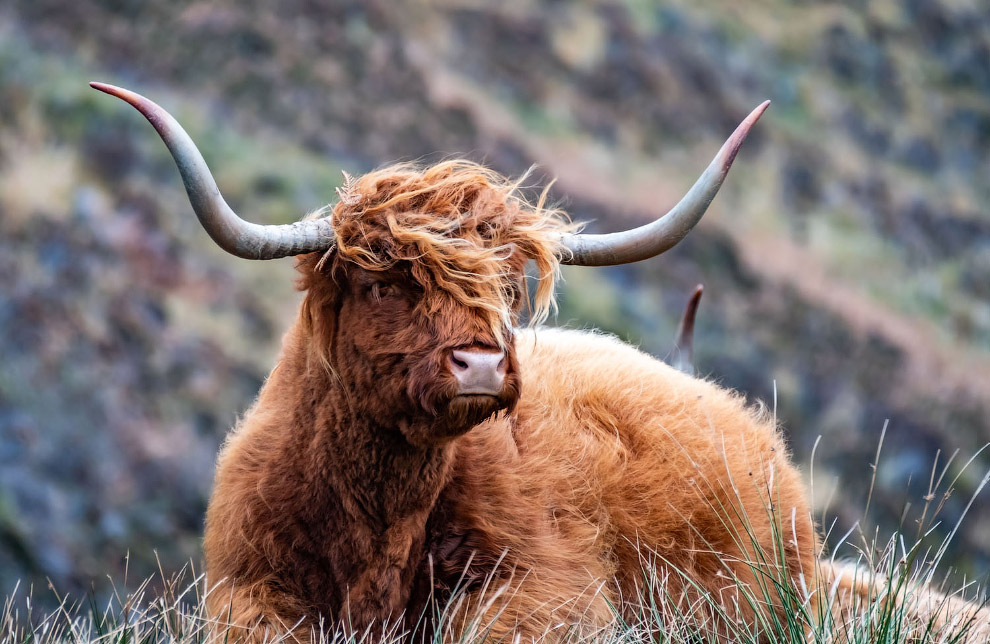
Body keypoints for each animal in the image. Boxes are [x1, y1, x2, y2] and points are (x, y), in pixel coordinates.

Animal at [89, 82, 985, 642]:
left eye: (503, 286)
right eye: (381, 281)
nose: (481, 366)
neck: (377, 519)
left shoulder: (552, 588)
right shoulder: (245, 591)